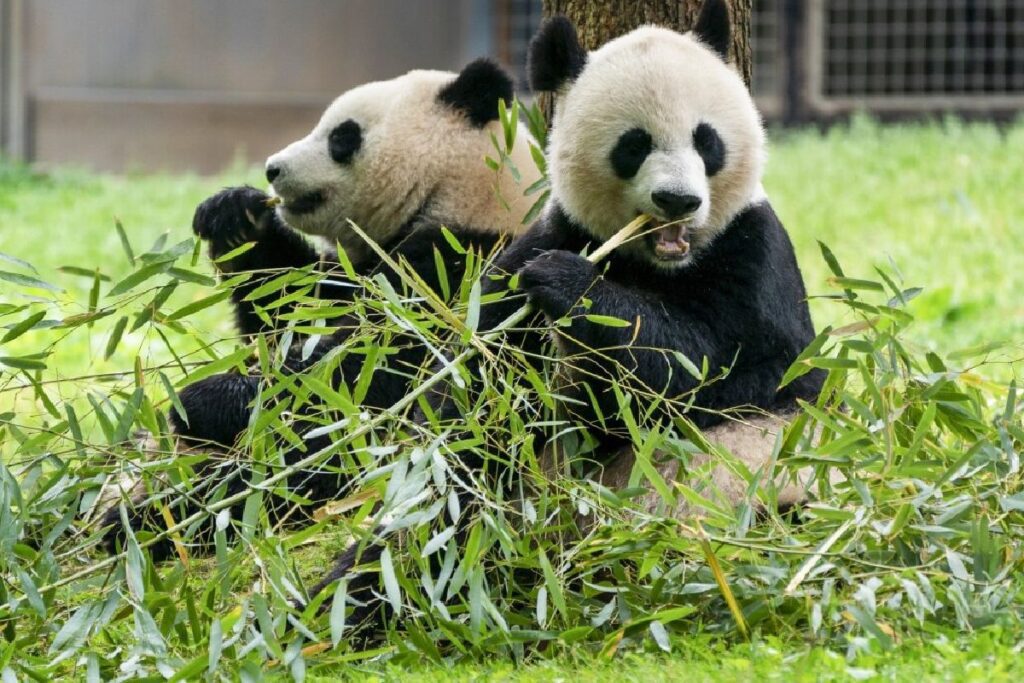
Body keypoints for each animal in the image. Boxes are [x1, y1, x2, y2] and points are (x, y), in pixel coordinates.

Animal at [99, 58, 540, 561]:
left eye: (341, 137)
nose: (272, 169)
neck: (462, 194)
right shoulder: (353, 270)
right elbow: (285, 312)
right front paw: (234, 215)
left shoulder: (459, 271)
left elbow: (363, 376)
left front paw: (202, 400)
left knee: (287, 476)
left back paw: (147, 521)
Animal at [307, 0, 827, 630]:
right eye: (634, 145)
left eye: (707, 141)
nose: (678, 201)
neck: (656, 264)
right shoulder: (540, 246)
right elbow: (478, 403)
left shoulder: (756, 256)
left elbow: (718, 370)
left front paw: (571, 286)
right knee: (447, 523)